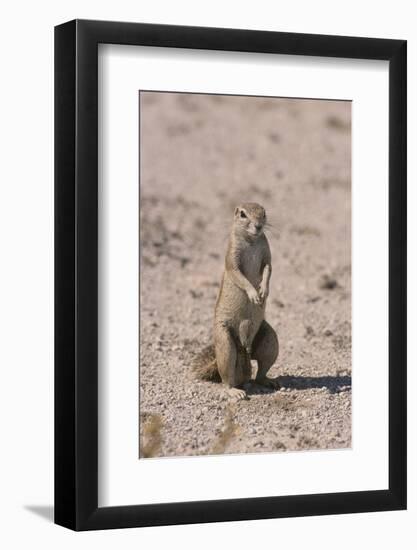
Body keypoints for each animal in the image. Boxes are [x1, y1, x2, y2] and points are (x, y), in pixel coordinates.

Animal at [193, 203, 278, 402]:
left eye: (264, 213)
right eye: (242, 214)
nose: (258, 226)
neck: (251, 240)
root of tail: (245, 350)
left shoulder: (267, 253)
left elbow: (268, 269)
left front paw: (264, 290)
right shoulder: (232, 257)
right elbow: (239, 275)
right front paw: (254, 294)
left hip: (271, 341)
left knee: (260, 371)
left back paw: (268, 381)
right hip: (225, 344)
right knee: (227, 378)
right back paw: (235, 391)